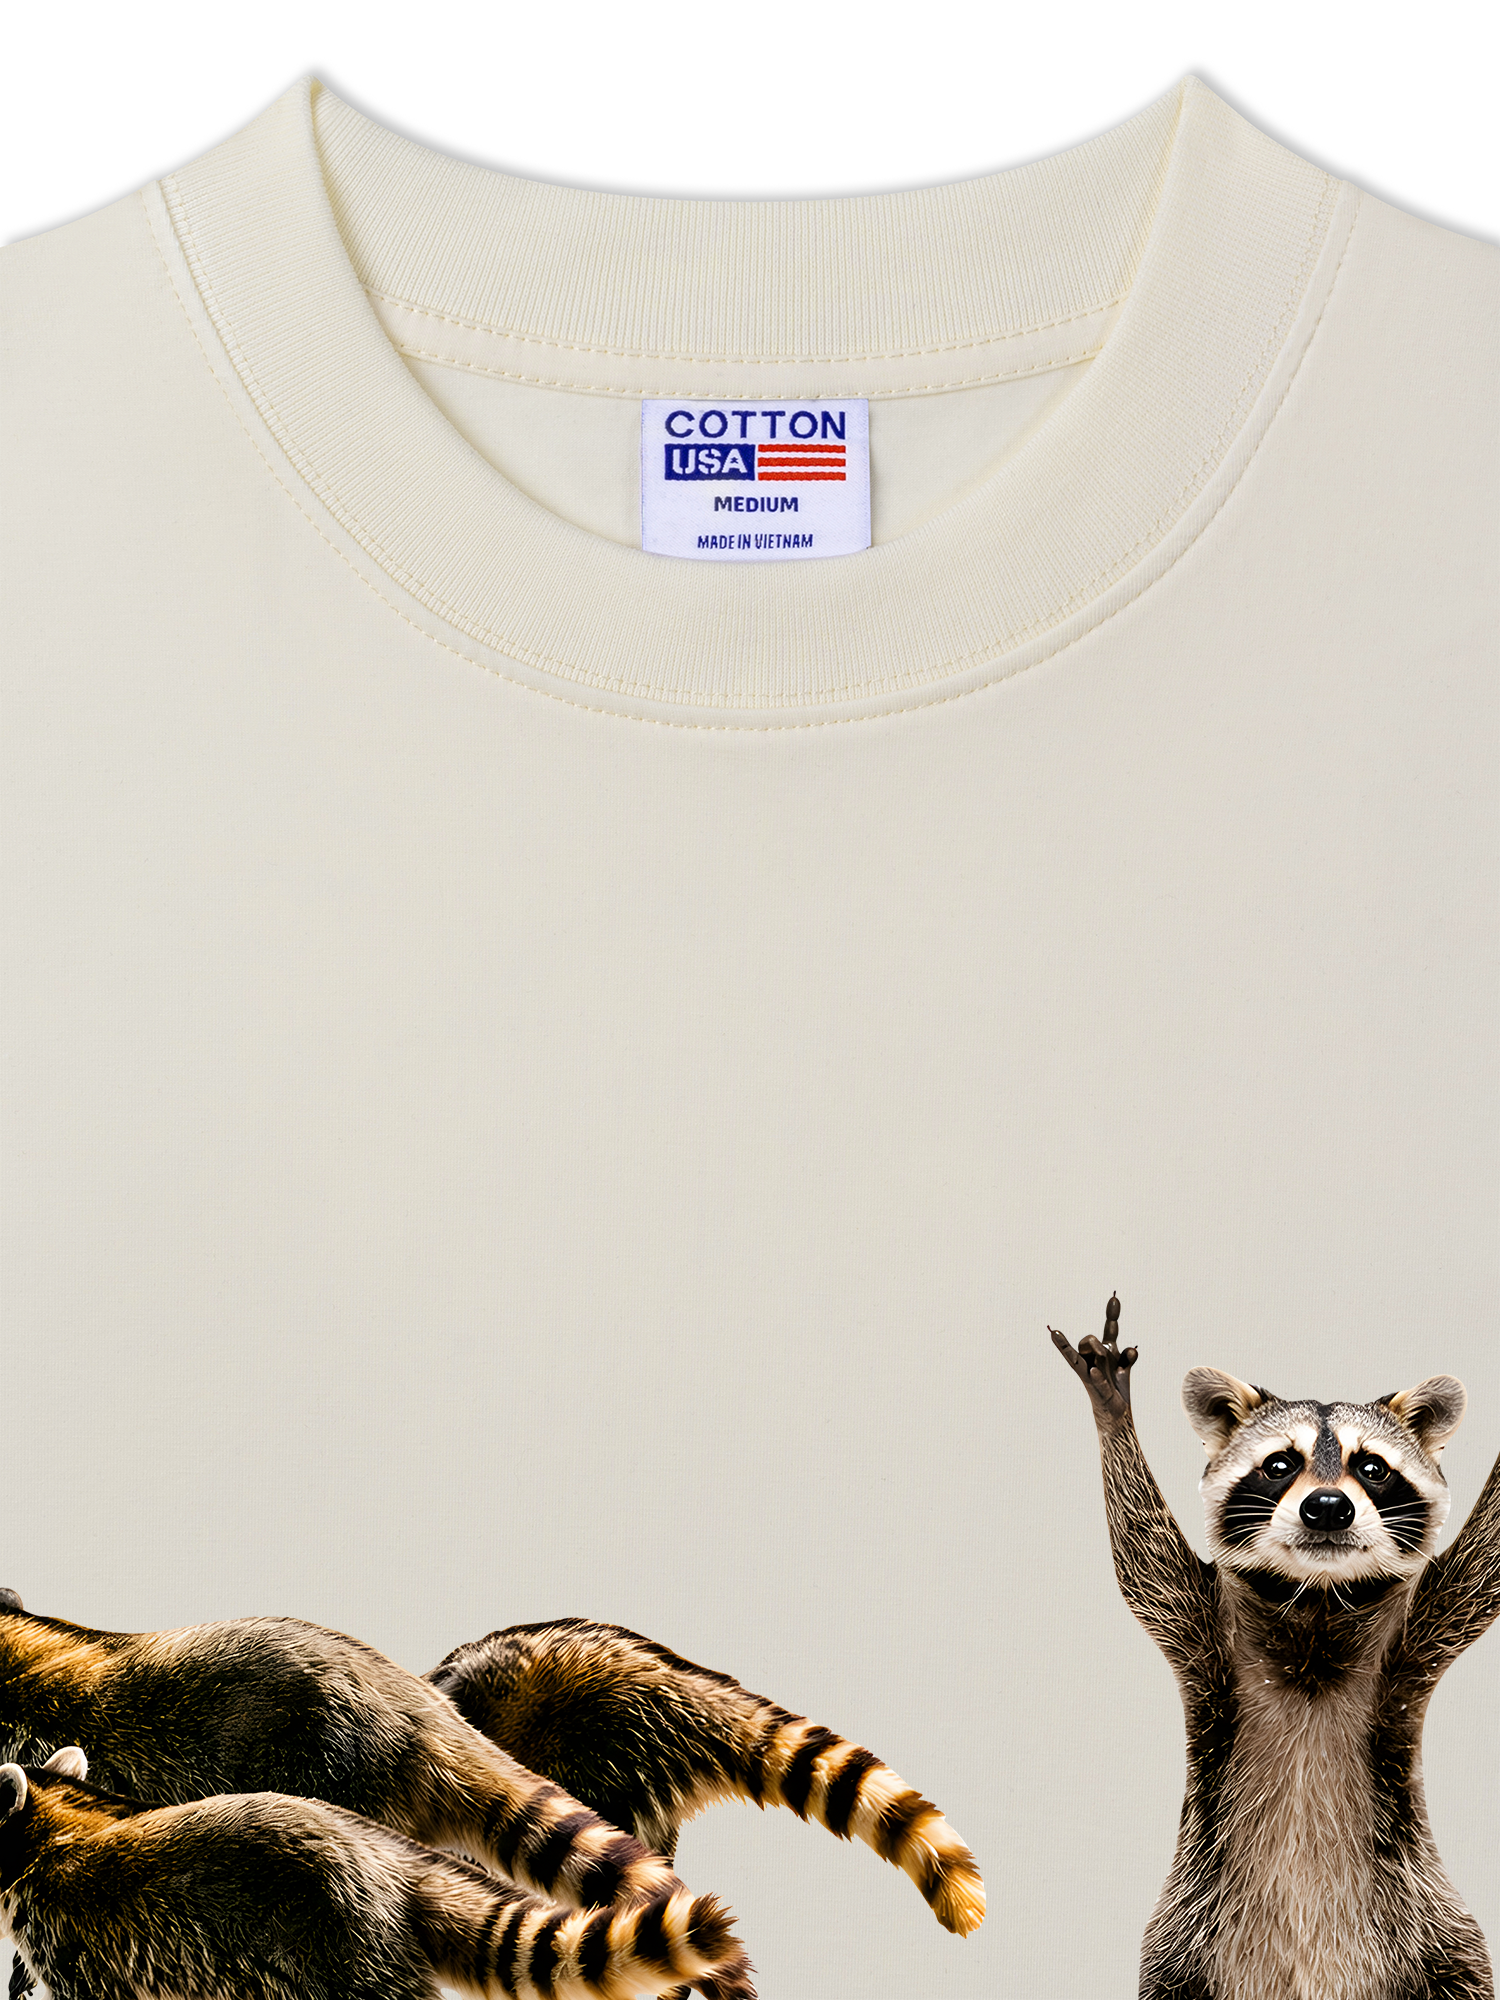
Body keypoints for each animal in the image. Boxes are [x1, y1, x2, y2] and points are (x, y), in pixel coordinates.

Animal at [1052, 1295, 1499, 2000]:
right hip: (1185, 1952)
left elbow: (1485, 1564)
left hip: (1439, 1943)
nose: (1328, 1507)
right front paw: (1113, 1412)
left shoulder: (1416, 1632)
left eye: (1372, 1468)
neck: (1316, 1600)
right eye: (1280, 1464)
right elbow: (1144, 1560)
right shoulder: (1206, 1633)